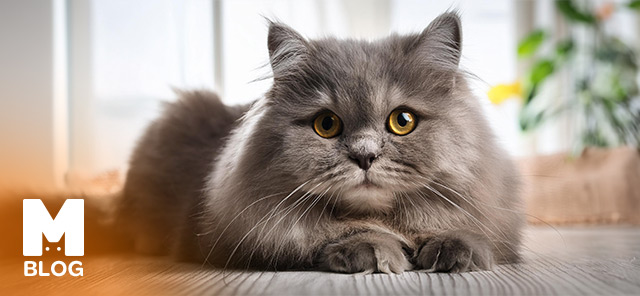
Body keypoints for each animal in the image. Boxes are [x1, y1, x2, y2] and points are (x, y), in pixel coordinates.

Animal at [116, 12, 524, 272]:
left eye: (403, 121)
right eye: (326, 125)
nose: (364, 155)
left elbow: (455, 228)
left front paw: (458, 252)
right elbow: (330, 236)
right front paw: (373, 252)